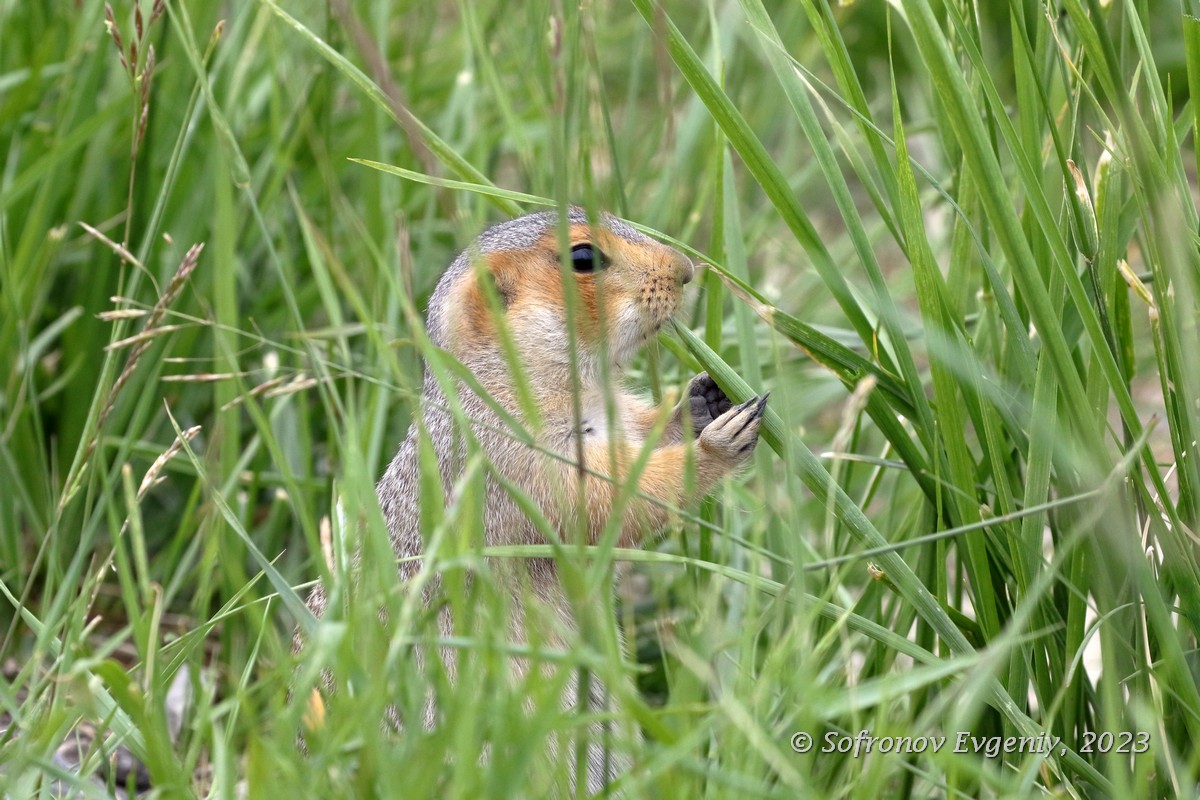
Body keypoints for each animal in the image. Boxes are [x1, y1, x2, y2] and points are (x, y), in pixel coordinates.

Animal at [304, 206, 763, 796]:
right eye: (583, 257)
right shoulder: (521, 461)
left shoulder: (609, 418)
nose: (685, 270)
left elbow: (639, 437)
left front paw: (702, 399)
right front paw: (714, 445)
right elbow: (610, 499)